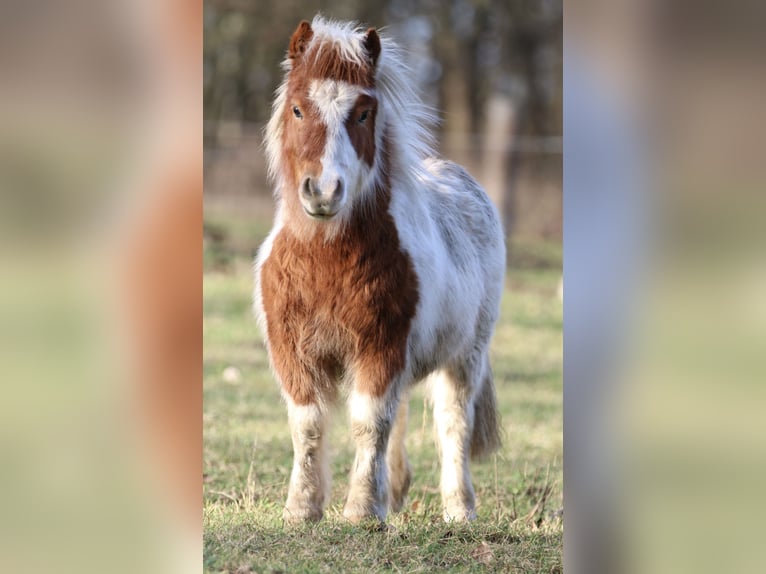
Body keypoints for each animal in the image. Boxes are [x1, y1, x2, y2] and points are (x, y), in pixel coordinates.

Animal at [258, 15, 508, 528]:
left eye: (363, 114)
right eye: (298, 109)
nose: (323, 191)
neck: (325, 259)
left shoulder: (382, 346)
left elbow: (369, 422)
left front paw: (361, 511)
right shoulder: (293, 351)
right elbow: (308, 426)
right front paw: (302, 508)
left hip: (465, 355)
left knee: (453, 423)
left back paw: (459, 509)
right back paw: (395, 492)